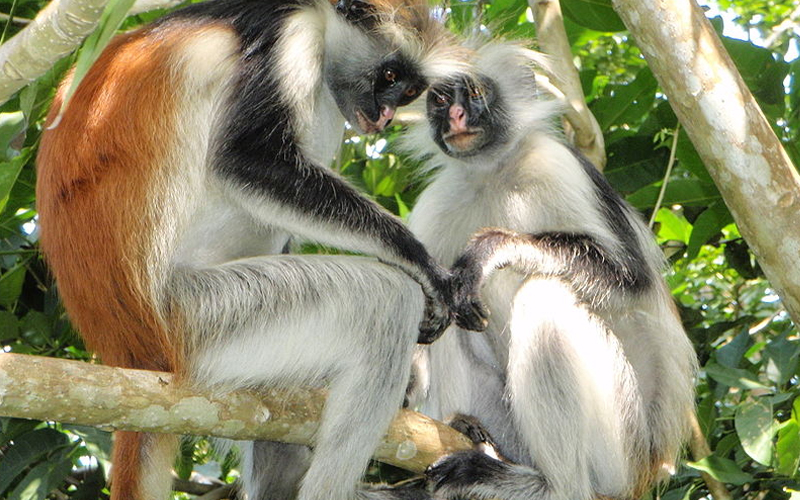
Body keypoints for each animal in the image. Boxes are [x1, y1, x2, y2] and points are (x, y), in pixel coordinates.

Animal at [36, 0, 476, 500]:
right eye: (388, 75)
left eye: (409, 91)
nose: (384, 116)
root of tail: (129, 351)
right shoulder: (290, 38)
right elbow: (248, 159)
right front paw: (422, 264)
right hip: (202, 317)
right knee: (386, 302)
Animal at [404, 43, 696, 500]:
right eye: (439, 100)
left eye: (475, 93)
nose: (455, 116)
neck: (493, 172)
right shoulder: (438, 200)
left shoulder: (557, 164)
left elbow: (632, 283)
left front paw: (493, 248)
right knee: (452, 311)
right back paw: (469, 431)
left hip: (619, 442)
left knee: (544, 296)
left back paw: (552, 485)